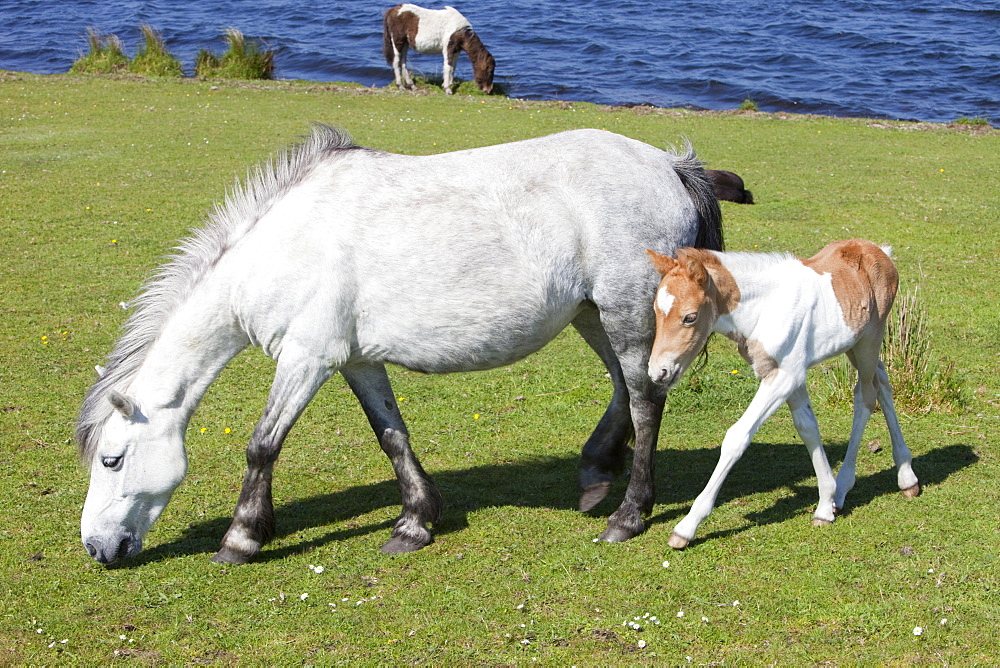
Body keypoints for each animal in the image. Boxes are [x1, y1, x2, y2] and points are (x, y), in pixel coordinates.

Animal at [648, 240, 920, 548]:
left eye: (690, 317)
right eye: (656, 311)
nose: (658, 371)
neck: (765, 307)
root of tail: (879, 251)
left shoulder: (783, 376)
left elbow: (737, 436)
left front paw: (687, 526)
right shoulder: (791, 373)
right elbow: (807, 427)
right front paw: (825, 505)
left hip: (869, 340)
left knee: (865, 396)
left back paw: (850, 485)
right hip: (855, 344)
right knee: (882, 378)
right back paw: (906, 477)